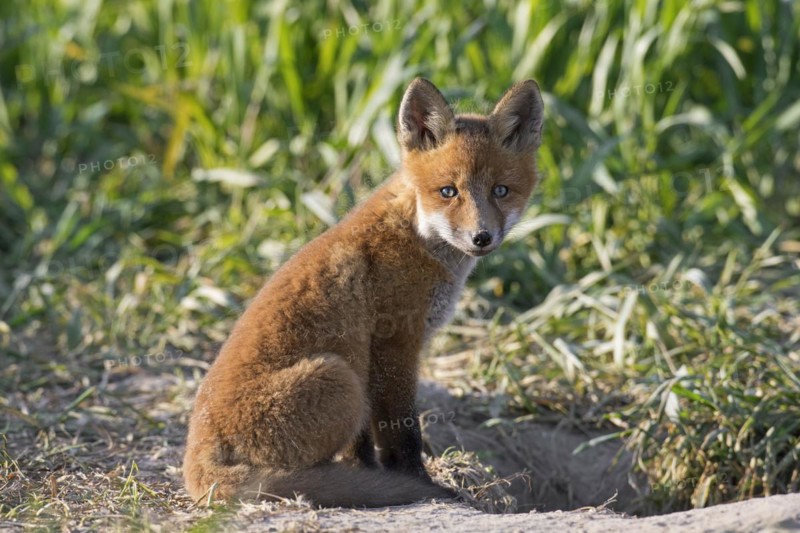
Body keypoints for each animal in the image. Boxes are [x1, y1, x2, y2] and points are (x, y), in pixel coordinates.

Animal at [183, 78, 545, 507]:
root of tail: (196, 468)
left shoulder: (380, 356)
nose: (481, 237)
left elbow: (366, 446)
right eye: (448, 191)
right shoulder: (395, 343)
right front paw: (417, 482)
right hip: (340, 376)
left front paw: (375, 474)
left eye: (501, 191)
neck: (416, 232)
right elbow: (402, 433)